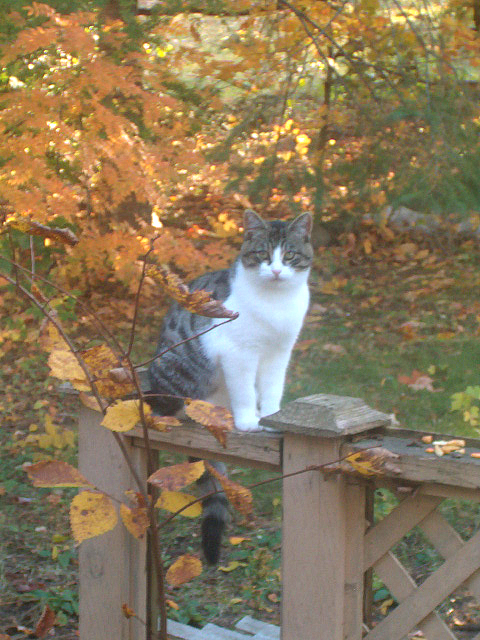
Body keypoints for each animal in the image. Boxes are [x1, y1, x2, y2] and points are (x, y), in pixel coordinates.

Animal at [148, 209, 314, 560]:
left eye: (289, 255)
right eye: (262, 254)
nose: (275, 270)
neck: (275, 303)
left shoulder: (280, 353)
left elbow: (272, 389)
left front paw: (270, 416)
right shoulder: (239, 353)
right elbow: (245, 392)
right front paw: (249, 422)